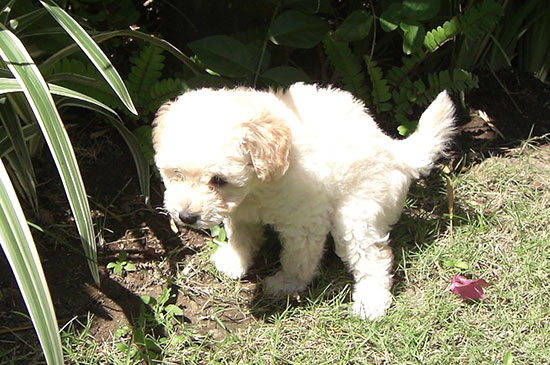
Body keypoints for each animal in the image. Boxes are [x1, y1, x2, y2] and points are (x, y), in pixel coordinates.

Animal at [152, 82, 458, 318]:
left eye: (218, 180)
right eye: (176, 173)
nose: (185, 217)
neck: (258, 187)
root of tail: (395, 152)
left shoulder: (305, 220)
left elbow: (298, 258)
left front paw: (288, 283)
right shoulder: (240, 212)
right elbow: (241, 236)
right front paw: (235, 262)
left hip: (356, 214)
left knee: (374, 258)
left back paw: (371, 302)